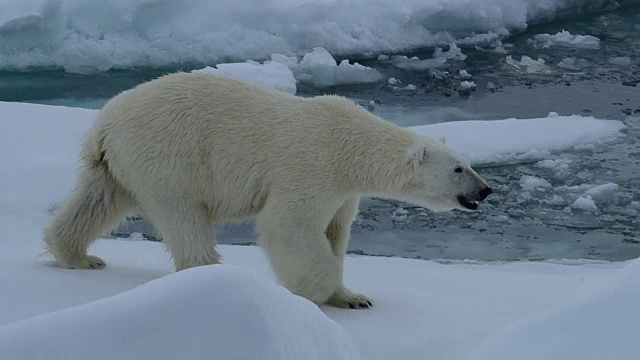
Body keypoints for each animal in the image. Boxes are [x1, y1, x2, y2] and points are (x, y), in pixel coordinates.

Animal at [45, 72, 492, 310]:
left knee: (96, 201)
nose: (486, 190)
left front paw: (352, 297)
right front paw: (312, 293)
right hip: (167, 156)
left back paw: (79, 256)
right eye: (458, 168)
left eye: (469, 163)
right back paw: (209, 272)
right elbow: (289, 225)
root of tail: (104, 123)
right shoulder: (311, 167)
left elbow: (335, 233)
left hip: (115, 165)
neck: (350, 145)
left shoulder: (343, 192)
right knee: (182, 215)